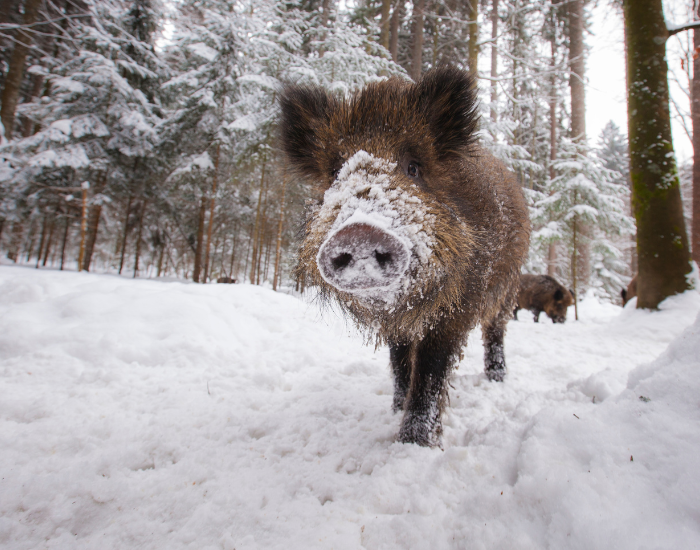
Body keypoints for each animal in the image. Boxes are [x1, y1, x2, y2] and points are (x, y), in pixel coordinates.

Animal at [279, 67, 530, 447]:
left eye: (413, 167)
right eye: (336, 171)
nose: (360, 231)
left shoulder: (456, 309)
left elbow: (430, 370)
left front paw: (413, 443)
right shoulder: (396, 325)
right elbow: (399, 361)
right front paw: (396, 409)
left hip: (508, 287)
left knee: (495, 331)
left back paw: (496, 379)